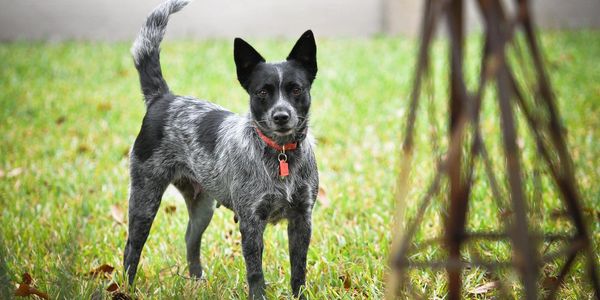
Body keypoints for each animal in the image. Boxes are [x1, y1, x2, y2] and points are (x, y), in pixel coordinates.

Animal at [122, 0, 318, 298]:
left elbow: (299, 269)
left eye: (296, 89)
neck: (280, 154)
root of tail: (163, 98)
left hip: (203, 205)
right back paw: (126, 287)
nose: (281, 116)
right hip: (145, 199)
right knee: (131, 248)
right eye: (262, 92)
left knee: (190, 239)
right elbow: (255, 273)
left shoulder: (302, 218)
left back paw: (196, 282)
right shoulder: (251, 222)